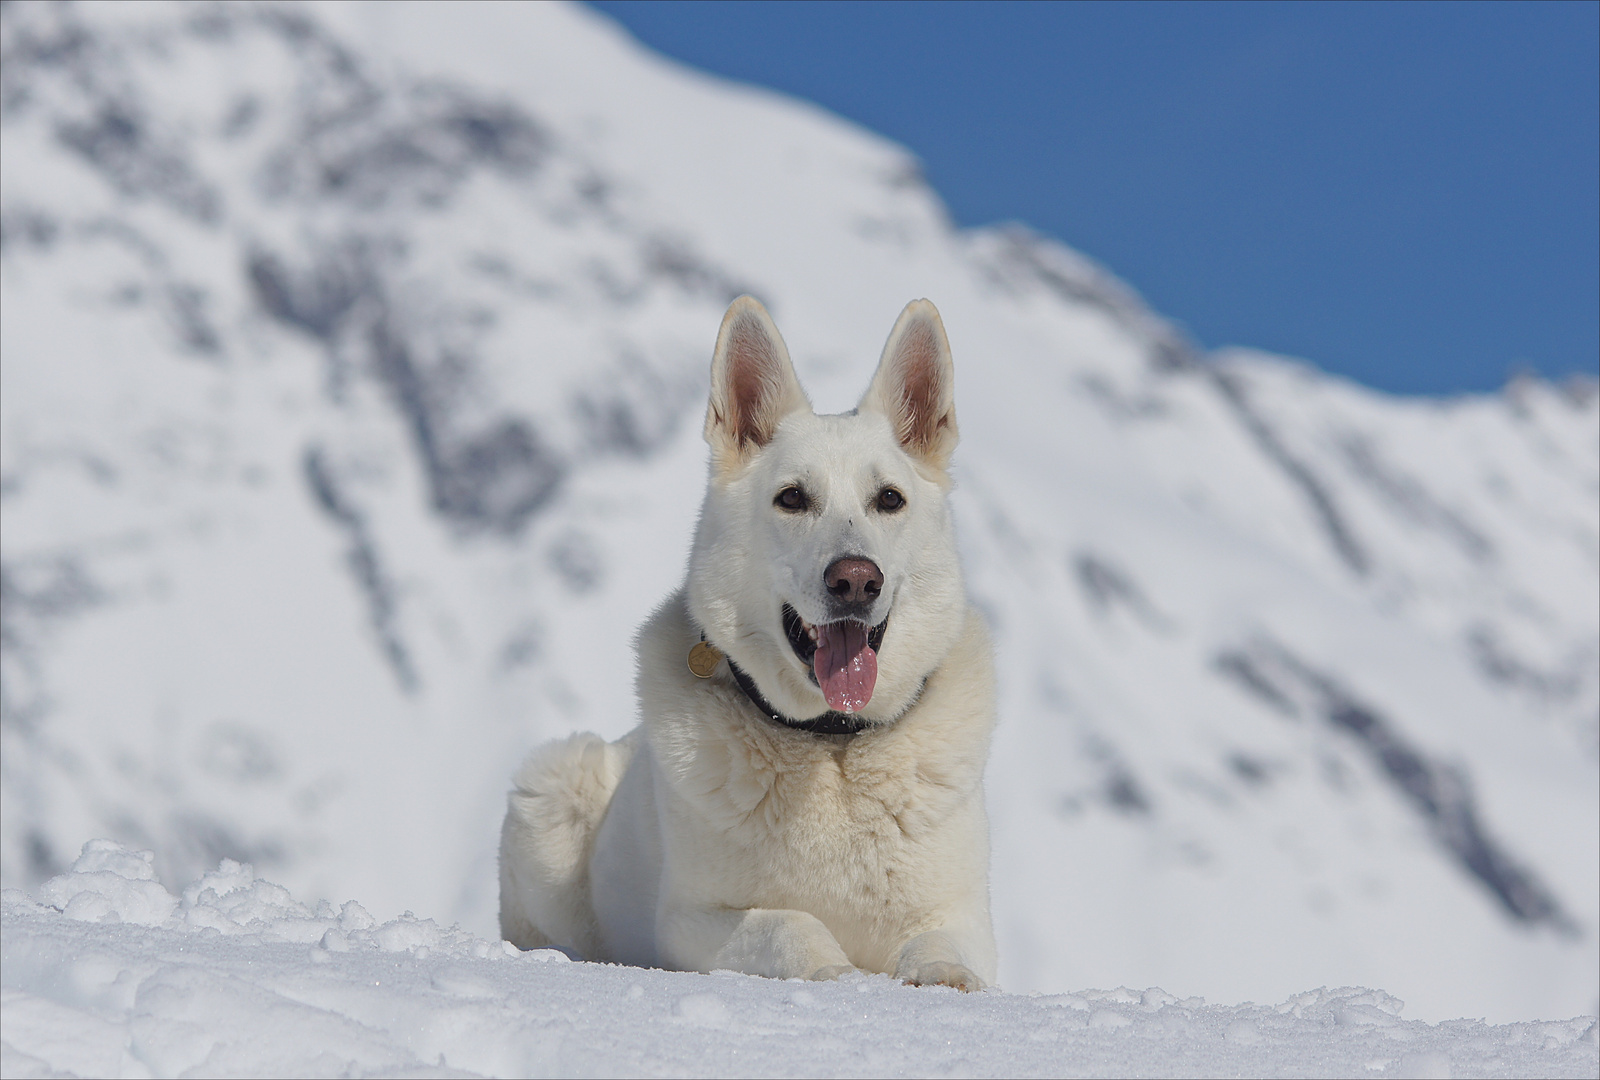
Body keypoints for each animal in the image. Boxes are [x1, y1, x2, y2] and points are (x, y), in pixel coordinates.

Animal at [502, 296, 998, 985]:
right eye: (792, 498)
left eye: (889, 499)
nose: (856, 580)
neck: (831, 747)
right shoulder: (689, 921)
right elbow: (789, 923)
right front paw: (836, 974)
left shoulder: (965, 918)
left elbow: (940, 945)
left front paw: (942, 977)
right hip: (549, 788)